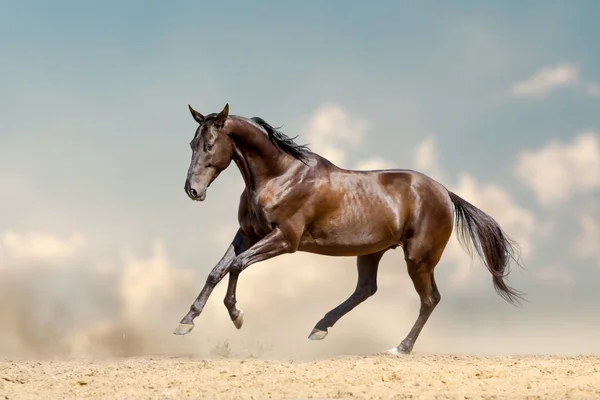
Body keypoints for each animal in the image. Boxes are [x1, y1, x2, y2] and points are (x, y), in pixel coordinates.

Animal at [172, 102, 520, 354]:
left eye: (209, 145)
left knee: (429, 299)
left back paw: (401, 348)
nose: (192, 190)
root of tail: (445, 193)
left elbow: (236, 265)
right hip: (371, 252)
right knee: (366, 289)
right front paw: (186, 322)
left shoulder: (285, 239)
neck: (279, 176)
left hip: (419, 259)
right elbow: (217, 270)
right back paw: (320, 328)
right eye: (191, 143)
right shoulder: (247, 234)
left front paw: (236, 316)